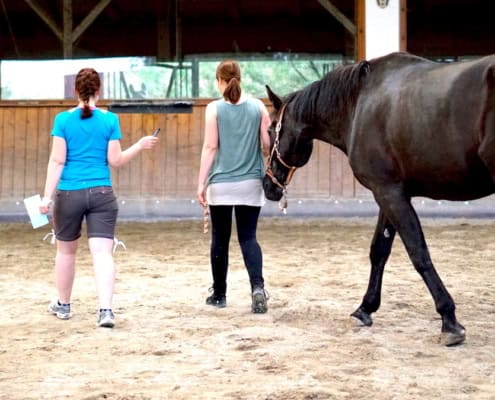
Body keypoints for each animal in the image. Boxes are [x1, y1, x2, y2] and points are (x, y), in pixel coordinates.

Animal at [266, 51, 495, 346]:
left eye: (271, 130)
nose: (268, 186)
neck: (359, 104)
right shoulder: (389, 192)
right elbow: (379, 251)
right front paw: (365, 308)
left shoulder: (388, 193)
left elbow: (418, 252)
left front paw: (449, 320)